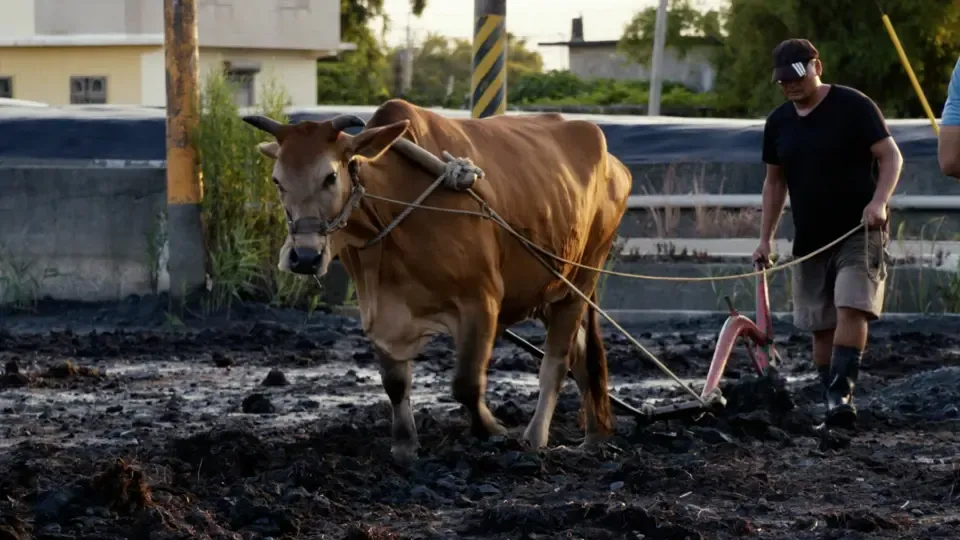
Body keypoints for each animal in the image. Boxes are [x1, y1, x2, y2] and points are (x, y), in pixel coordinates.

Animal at [242, 99, 633, 463]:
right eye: (277, 181)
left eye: (330, 176)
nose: (305, 257)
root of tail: (615, 164)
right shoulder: (378, 309)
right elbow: (395, 383)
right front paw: (405, 445)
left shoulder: (481, 301)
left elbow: (466, 384)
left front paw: (493, 429)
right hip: (548, 289)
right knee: (583, 355)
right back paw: (595, 437)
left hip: (580, 279)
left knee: (557, 360)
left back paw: (535, 437)